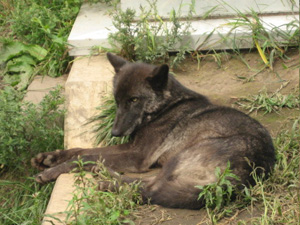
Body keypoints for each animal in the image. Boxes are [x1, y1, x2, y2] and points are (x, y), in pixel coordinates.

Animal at [31, 52, 276, 209]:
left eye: (134, 100)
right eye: (117, 101)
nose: (115, 132)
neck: (165, 107)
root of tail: (243, 176)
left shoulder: (138, 155)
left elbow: (86, 156)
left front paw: (53, 171)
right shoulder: (133, 148)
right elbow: (82, 150)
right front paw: (50, 157)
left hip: (181, 156)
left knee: (151, 189)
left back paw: (108, 182)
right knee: (148, 184)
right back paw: (105, 175)